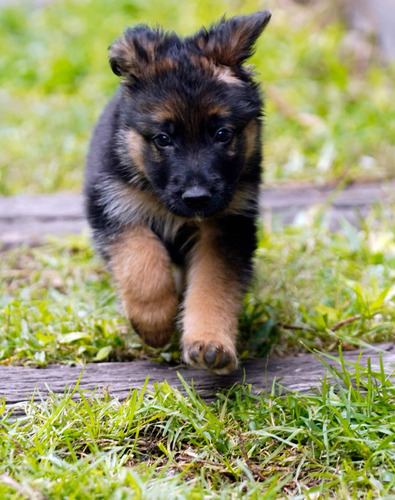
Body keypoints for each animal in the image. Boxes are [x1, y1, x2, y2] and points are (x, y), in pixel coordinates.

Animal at [84, 11, 272, 374]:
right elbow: (141, 262)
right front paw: (154, 323)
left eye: (222, 134)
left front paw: (210, 343)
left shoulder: (226, 228)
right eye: (163, 139)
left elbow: (213, 287)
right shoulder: (115, 207)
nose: (197, 199)